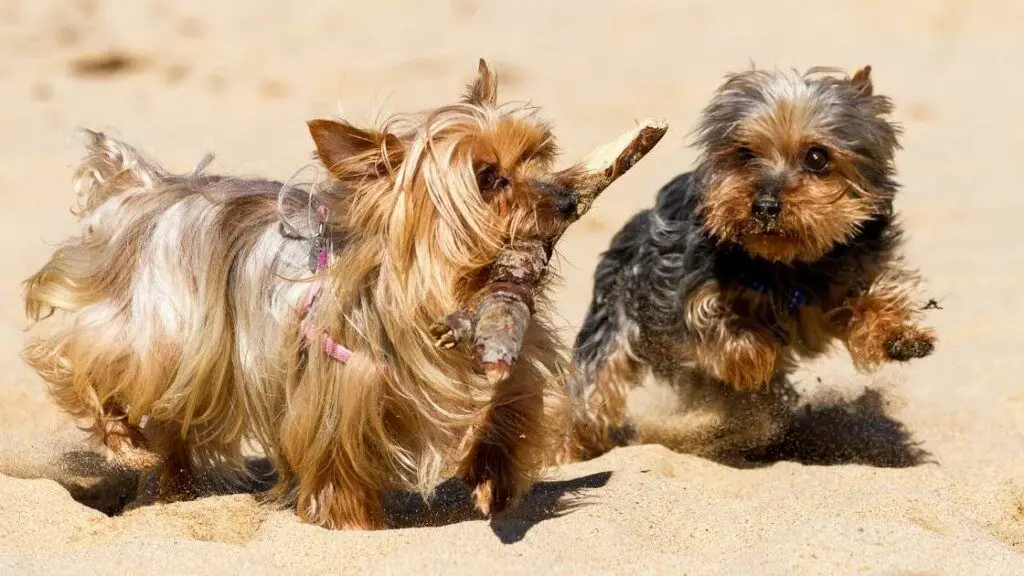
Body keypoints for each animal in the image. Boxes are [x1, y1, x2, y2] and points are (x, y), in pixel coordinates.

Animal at [24, 60, 593, 528]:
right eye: (488, 177)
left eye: (537, 155)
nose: (569, 200)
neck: (440, 293)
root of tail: (147, 191)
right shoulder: (343, 386)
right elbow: (338, 462)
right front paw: (350, 522)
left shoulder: (507, 352)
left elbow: (511, 409)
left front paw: (494, 479)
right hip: (158, 329)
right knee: (82, 359)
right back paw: (125, 440)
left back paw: (177, 487)